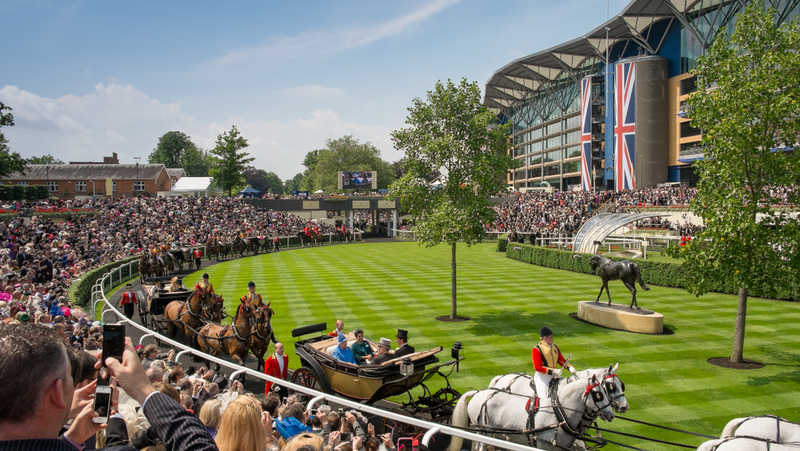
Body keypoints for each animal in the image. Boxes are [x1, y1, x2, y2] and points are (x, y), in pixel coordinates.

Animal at [450, 372, 620, 451]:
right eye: (599, 394)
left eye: (606, 390)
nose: (613, 413)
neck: (559, 414)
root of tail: (478, 392)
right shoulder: (544, 445)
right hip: (485, 430)